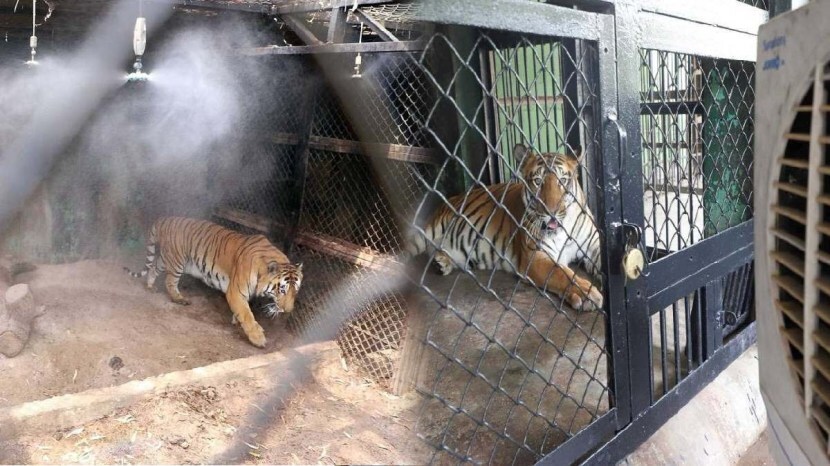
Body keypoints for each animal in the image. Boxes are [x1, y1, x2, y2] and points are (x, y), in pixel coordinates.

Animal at [123, 218, 302, 346]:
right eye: (282, 290)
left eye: (296, 291)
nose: (288, 311)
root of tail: (164, 219)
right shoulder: (235, 291)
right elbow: (247, 314)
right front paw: (258, 338)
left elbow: (242, 311)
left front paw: (236, 321)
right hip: (177, 261)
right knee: (170, 282)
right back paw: (179, 299)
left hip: (168, 258)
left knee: (153, 267)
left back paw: (150, 286)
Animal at [404, 144, 604, 312]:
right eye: (538, 181)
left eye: (562, 180)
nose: (551, 212)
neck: (564, 228)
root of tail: (449, 200)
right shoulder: (536, 256)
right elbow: (562, 274)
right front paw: (587, 294)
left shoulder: (594, 244)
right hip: (424, 234)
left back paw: (441, 263)